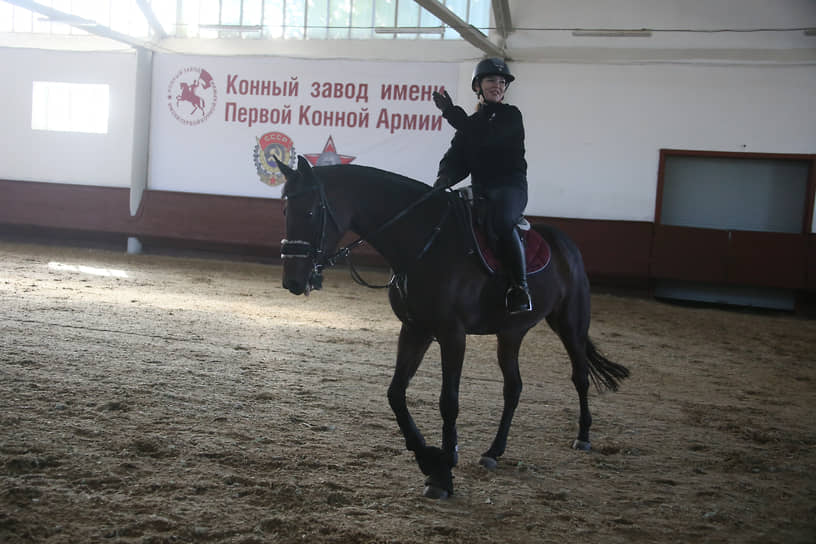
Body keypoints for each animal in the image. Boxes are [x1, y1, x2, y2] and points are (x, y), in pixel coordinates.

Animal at [278, 155, 628, 500]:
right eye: (285, 211)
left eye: (310, 211)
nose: (293, 281)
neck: (422, 243)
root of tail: (566, 243)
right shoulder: (415, 330)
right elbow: (395, 393)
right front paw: (429, 459)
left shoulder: (452, 334)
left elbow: (448, 401)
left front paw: (443, 470)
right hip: (510, 333)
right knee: (513, 387)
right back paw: (493, 451)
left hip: (570, 324)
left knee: (580, 376)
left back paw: (583, 435)